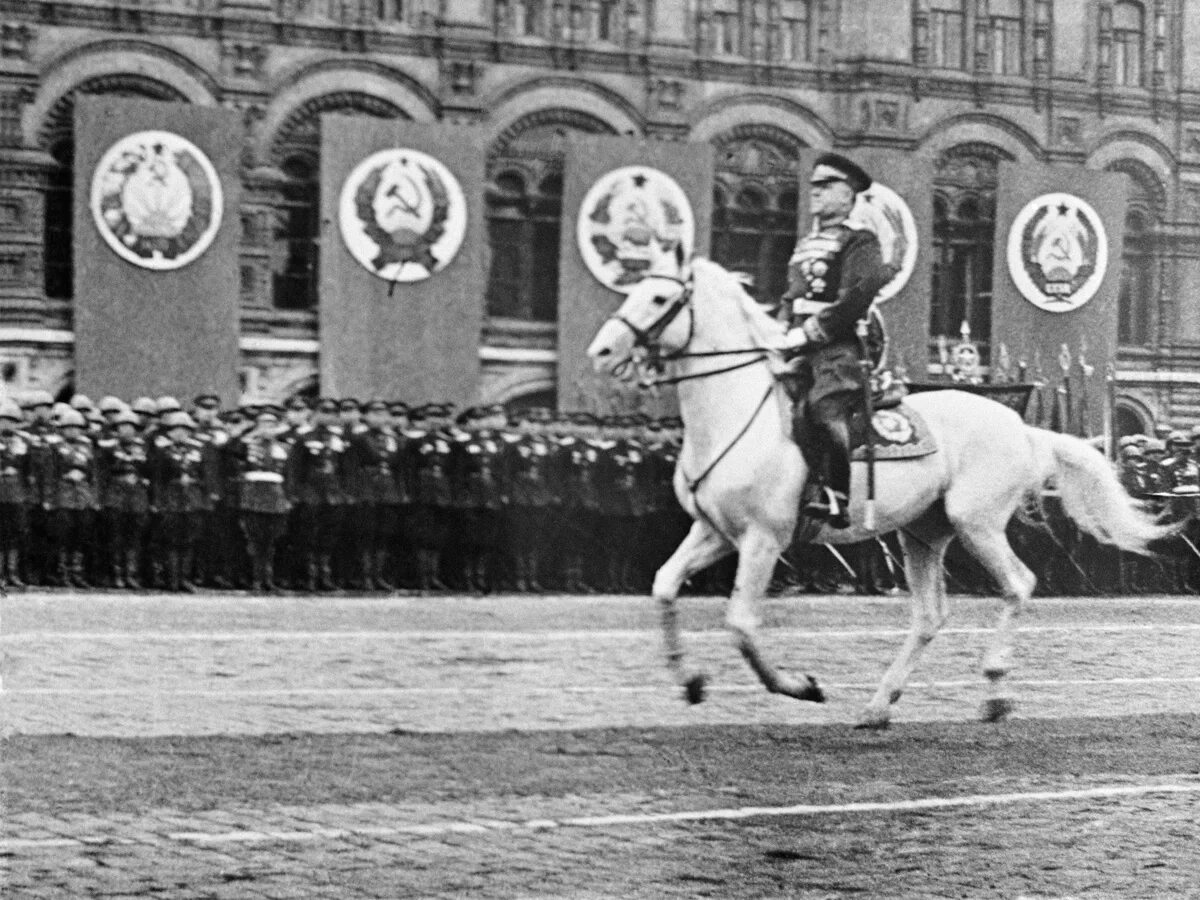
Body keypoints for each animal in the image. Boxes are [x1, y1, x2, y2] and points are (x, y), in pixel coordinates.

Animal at [585, 255, 1166, 734]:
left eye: (660, 298)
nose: (602, 351)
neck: (736, 413)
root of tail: (1022, 426)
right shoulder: (713, 532)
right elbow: (664, 586)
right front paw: (689, 680)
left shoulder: (762, 540)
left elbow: (741, 625)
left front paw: (799, 686)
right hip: (923, 534)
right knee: (930, 616)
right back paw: (880, 705)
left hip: (975, 523)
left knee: (1018, 585)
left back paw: (994, 691)